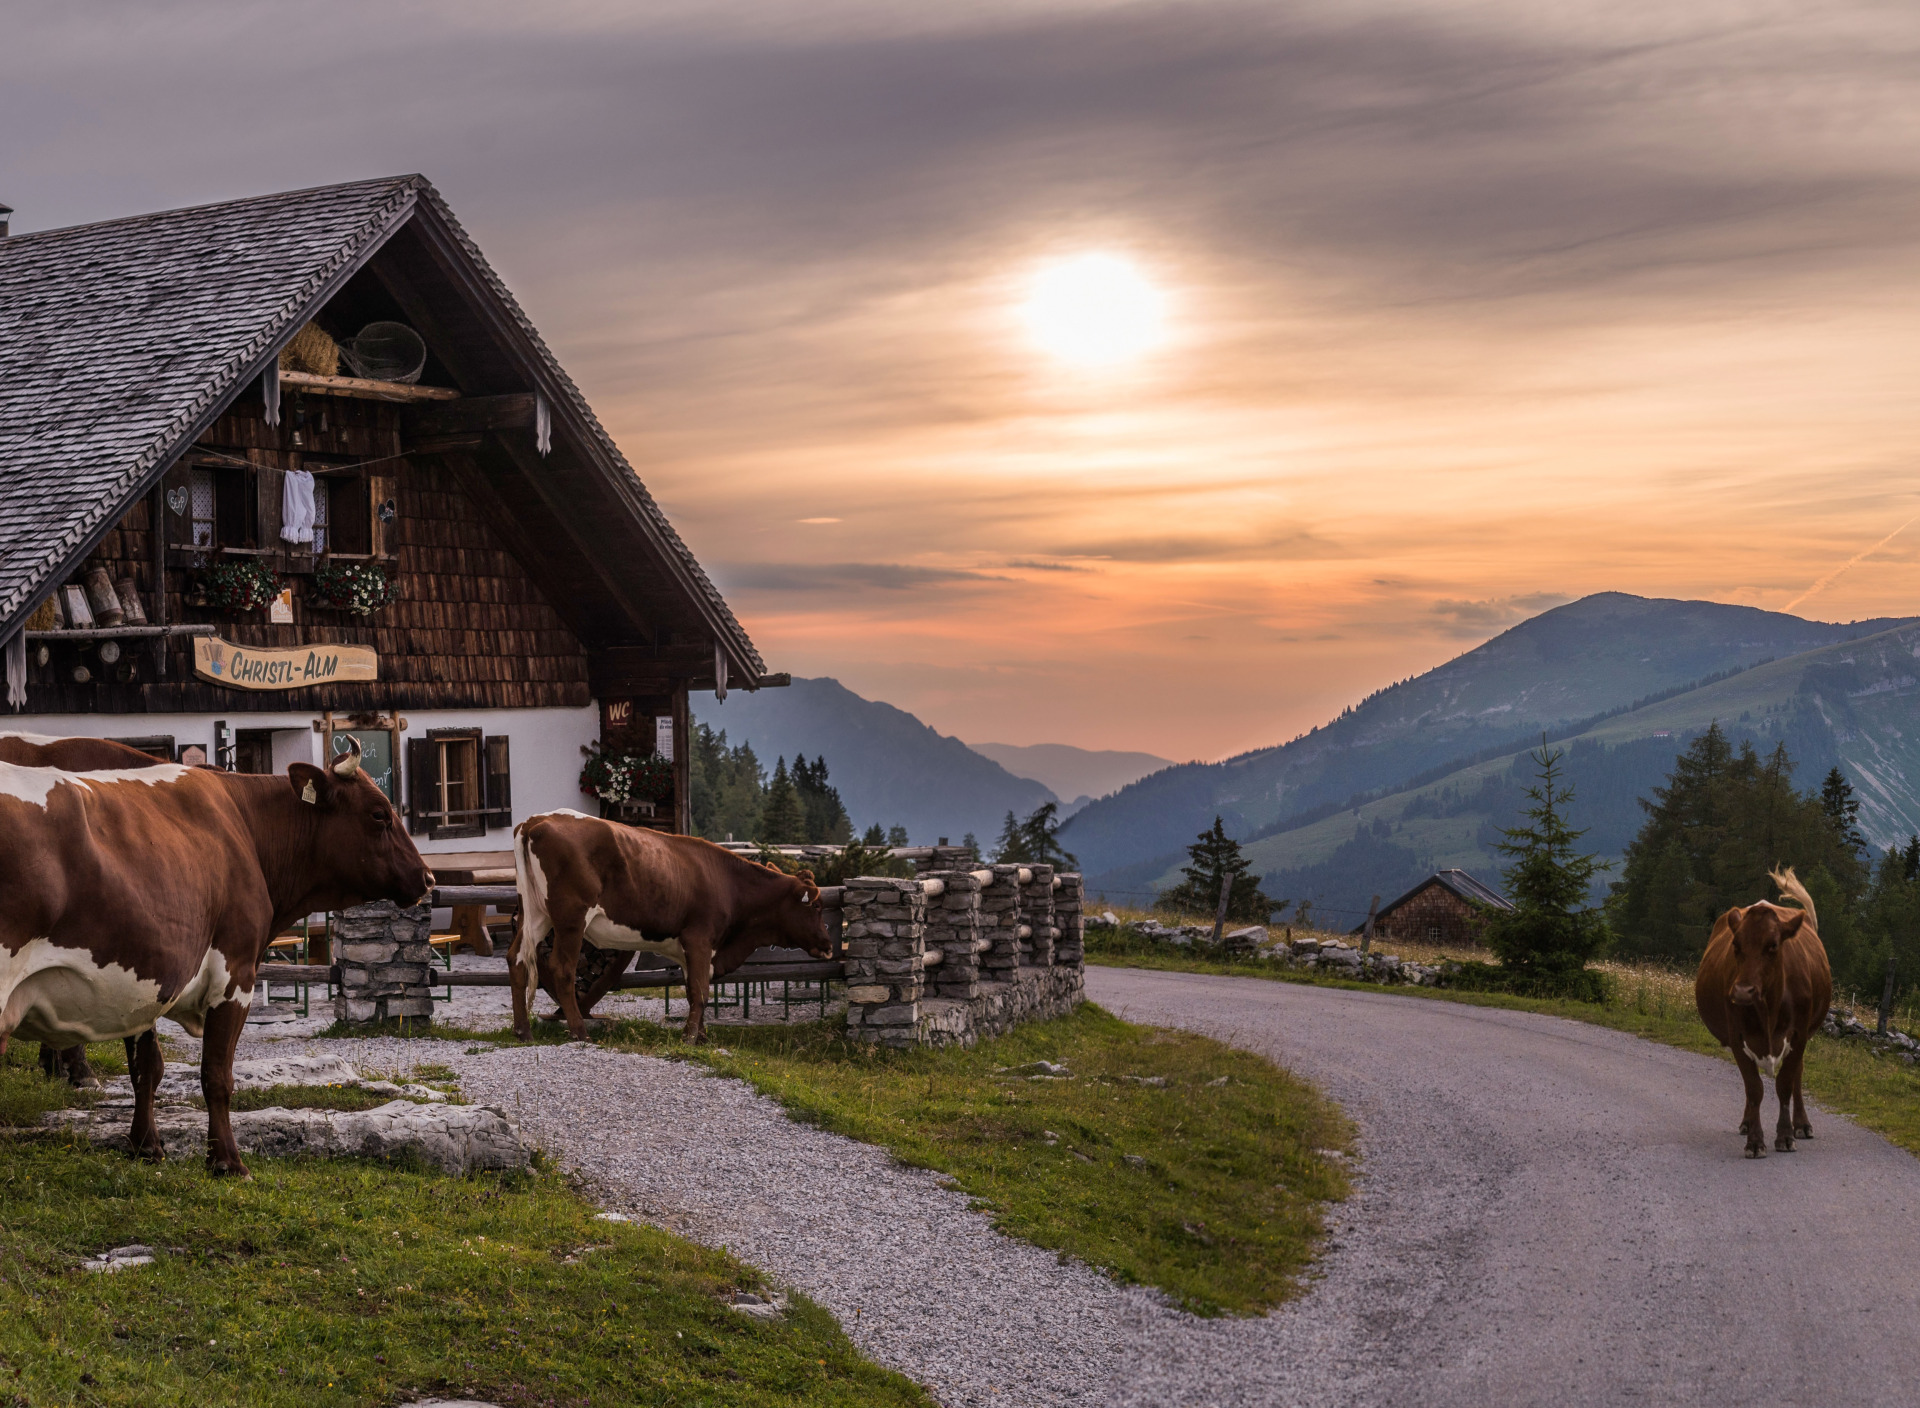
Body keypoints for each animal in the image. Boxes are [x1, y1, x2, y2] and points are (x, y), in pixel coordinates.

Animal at [2, 737, 432, 1175]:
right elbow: (217, 1074)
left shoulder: (143, 977)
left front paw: (145, 1146)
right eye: (379, 814)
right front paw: (227, 1161)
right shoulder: (234, 975)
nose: (428, 877)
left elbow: (146, 1068)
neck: (243, 825)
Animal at [514, 806, 829, 1037]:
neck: (727, 882)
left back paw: (522, 1030)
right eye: (815, 905)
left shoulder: (691, 949)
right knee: (562, 968)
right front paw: (689, 1037)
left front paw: (700, 1036)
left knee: (516, 960)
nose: (828, 944)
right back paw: (580, 1032)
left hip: (536, 914)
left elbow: (693, 991)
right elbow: (701, 992)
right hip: (571, 918)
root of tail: (537, 820)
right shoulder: (699, 939)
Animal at [1697, 868, 1827, 1152]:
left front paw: (1786, 1135)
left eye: (1773, 945)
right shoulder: (1737, 1037)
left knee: (1798, 1075)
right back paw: (1747, 1123)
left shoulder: (1799, 1035)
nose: (1742, 991)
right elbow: (1754, 1088)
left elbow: (1785, 1085)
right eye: (1735, 945)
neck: (1770, 1009)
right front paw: (1755, 1141)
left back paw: (1802, 1124)